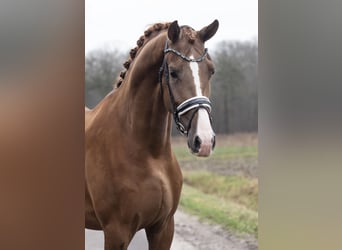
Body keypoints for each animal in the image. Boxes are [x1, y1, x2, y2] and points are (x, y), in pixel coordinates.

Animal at [85, 20, 219, 250]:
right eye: (173, 72)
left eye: (210, 70)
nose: (204, 141)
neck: (150, 154)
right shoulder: (116, 232)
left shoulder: (163, 228)